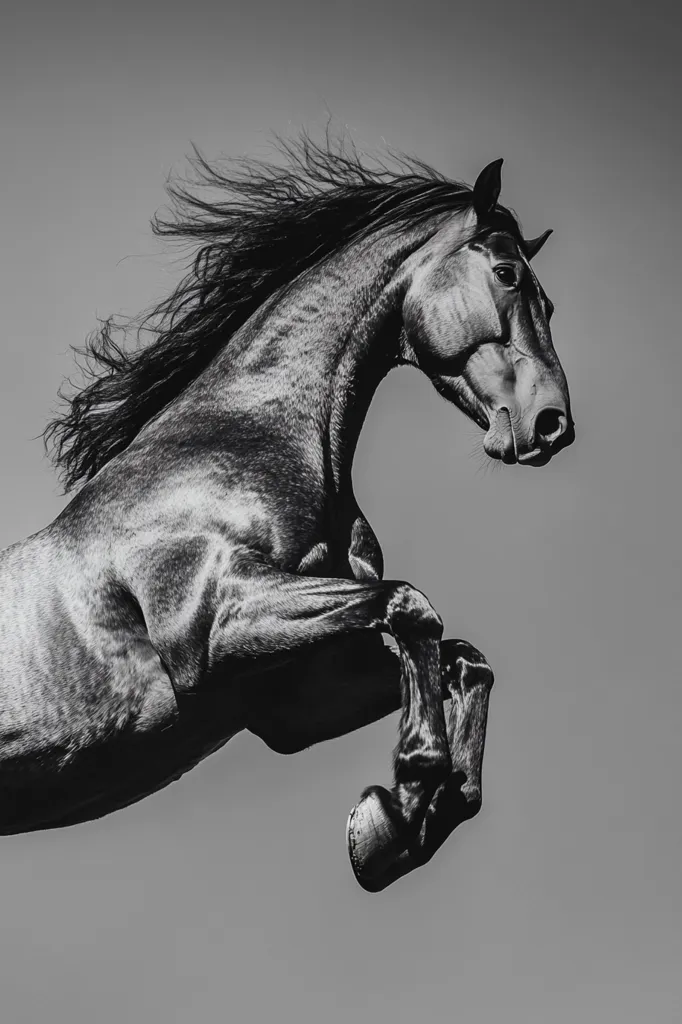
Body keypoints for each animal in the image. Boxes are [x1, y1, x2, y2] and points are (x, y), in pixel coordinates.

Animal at [0, 137, 573, 892]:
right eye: (506, 274)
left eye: (550, 301)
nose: (552, 423)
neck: (246, 438)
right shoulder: (215, 628)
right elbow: (412, 607)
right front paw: (405, 796)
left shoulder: (294, 697)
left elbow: (464, 661)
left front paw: (400, 821)